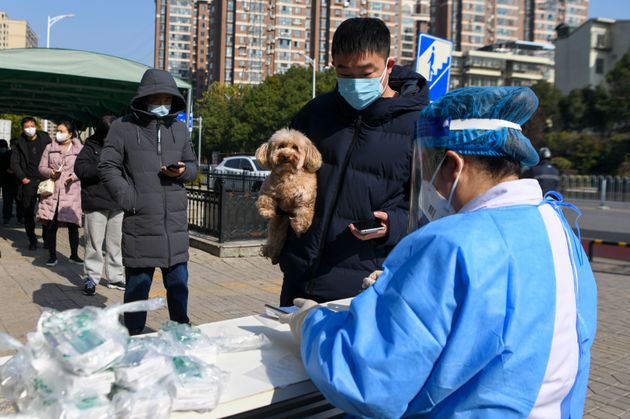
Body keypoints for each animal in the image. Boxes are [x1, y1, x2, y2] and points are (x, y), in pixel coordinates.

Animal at [256, 130, 324, 264]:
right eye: (281, 146)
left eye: (295, 148)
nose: (286, 155)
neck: (287, 174)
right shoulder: (267, 188)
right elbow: (265, 199)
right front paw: (266, 212)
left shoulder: (306, 195)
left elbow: (304, 211)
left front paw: (300, 226)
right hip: (278, 223)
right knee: (274, 238)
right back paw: (270, 252)